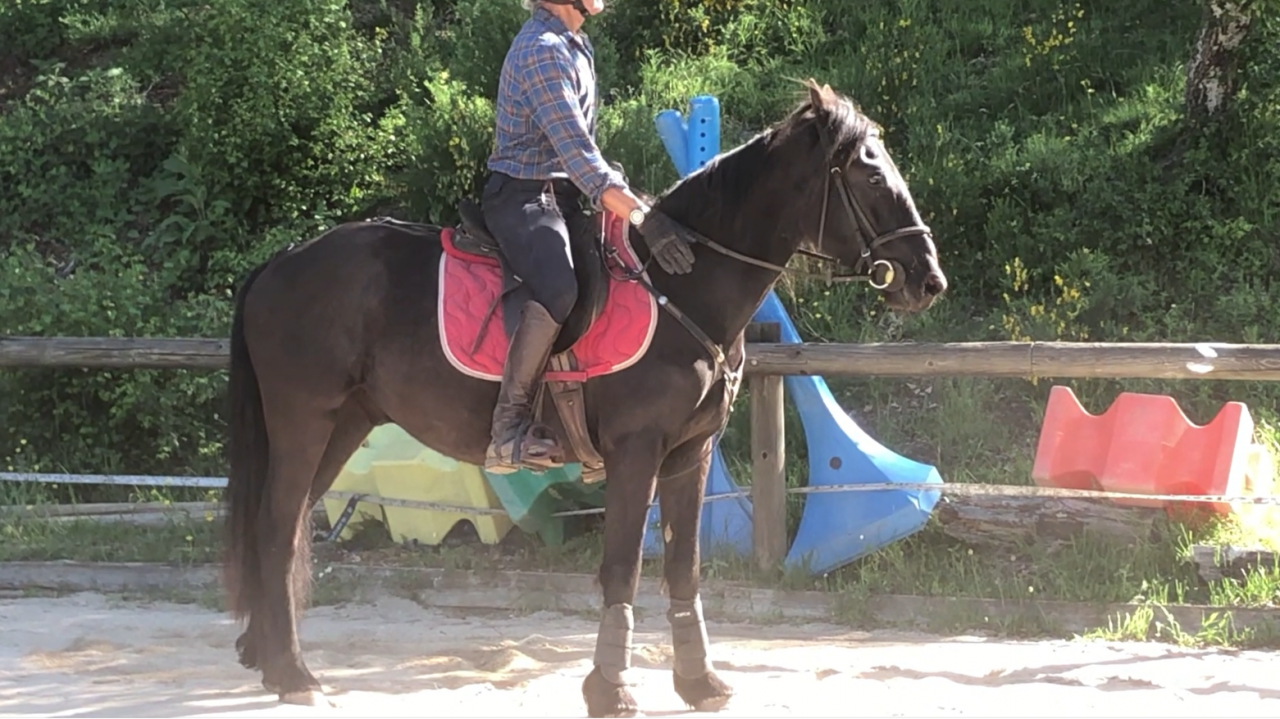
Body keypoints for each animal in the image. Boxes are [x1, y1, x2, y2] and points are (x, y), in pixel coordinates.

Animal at [221, 78, 948, 717]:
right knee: (278, 526)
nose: (928, 279)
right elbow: (622, 569)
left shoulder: (689, 455)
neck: (683, 284)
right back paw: (294, 673)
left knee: (283, 525)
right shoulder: (636, 452)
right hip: (304, 420)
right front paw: (611, 688)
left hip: (342, 425)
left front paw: (699, 681)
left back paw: (270, 660)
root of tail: (280, 262)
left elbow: (683, 569)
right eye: (871, 178)